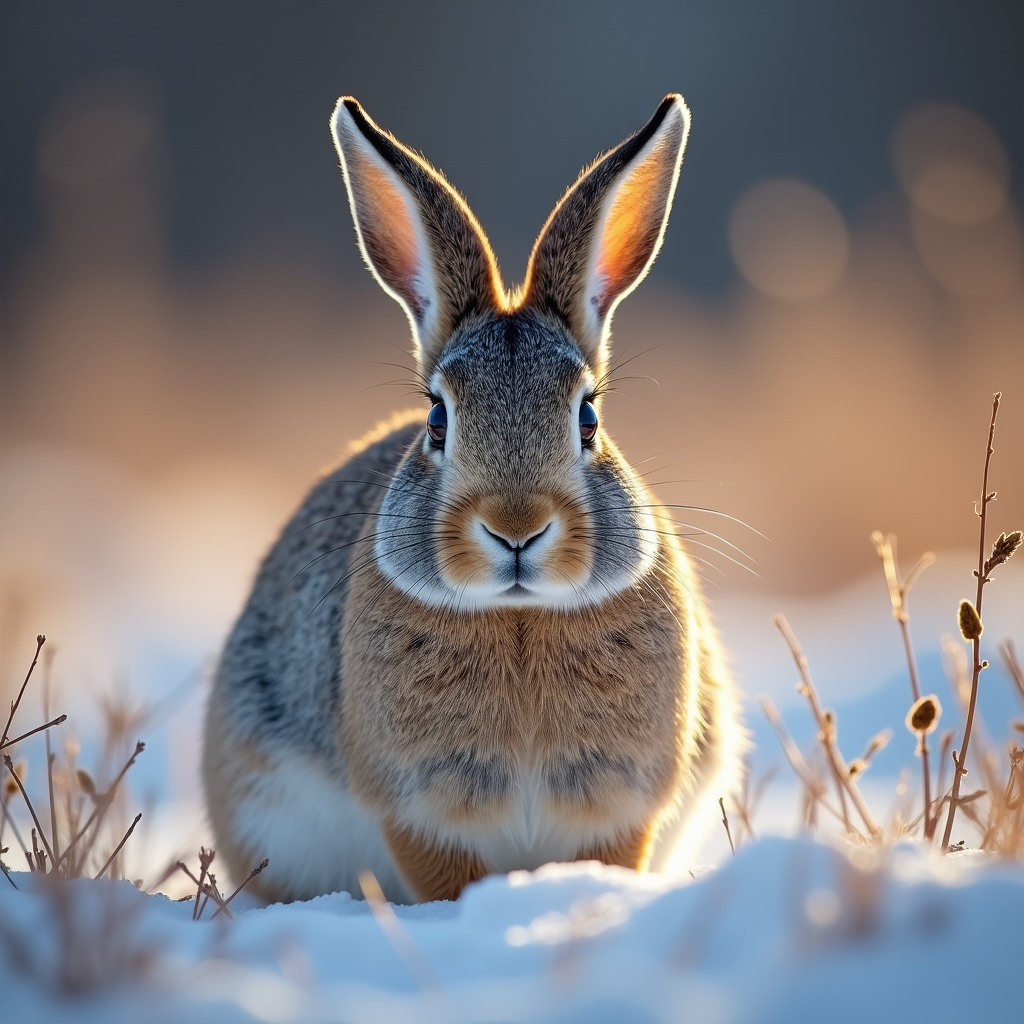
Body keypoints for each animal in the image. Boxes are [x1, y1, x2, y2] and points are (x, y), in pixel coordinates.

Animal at [202, 93, 746, 905]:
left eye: (589, 418)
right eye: (437, 418)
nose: (516, 529)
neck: (519, 618)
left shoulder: (621, 805)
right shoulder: (418, 809)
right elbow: (442, 876)